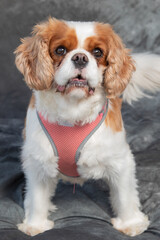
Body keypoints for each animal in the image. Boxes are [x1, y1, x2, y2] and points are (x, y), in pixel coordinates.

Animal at [14, 17, 160, 236]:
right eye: (60, 50)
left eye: (97, 52)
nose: (81, 58)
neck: (74, 111)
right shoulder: (39, 160)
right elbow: (37, 196)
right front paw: (36, 225)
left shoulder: (120, 160)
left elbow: (124, 195)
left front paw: (131, 223)